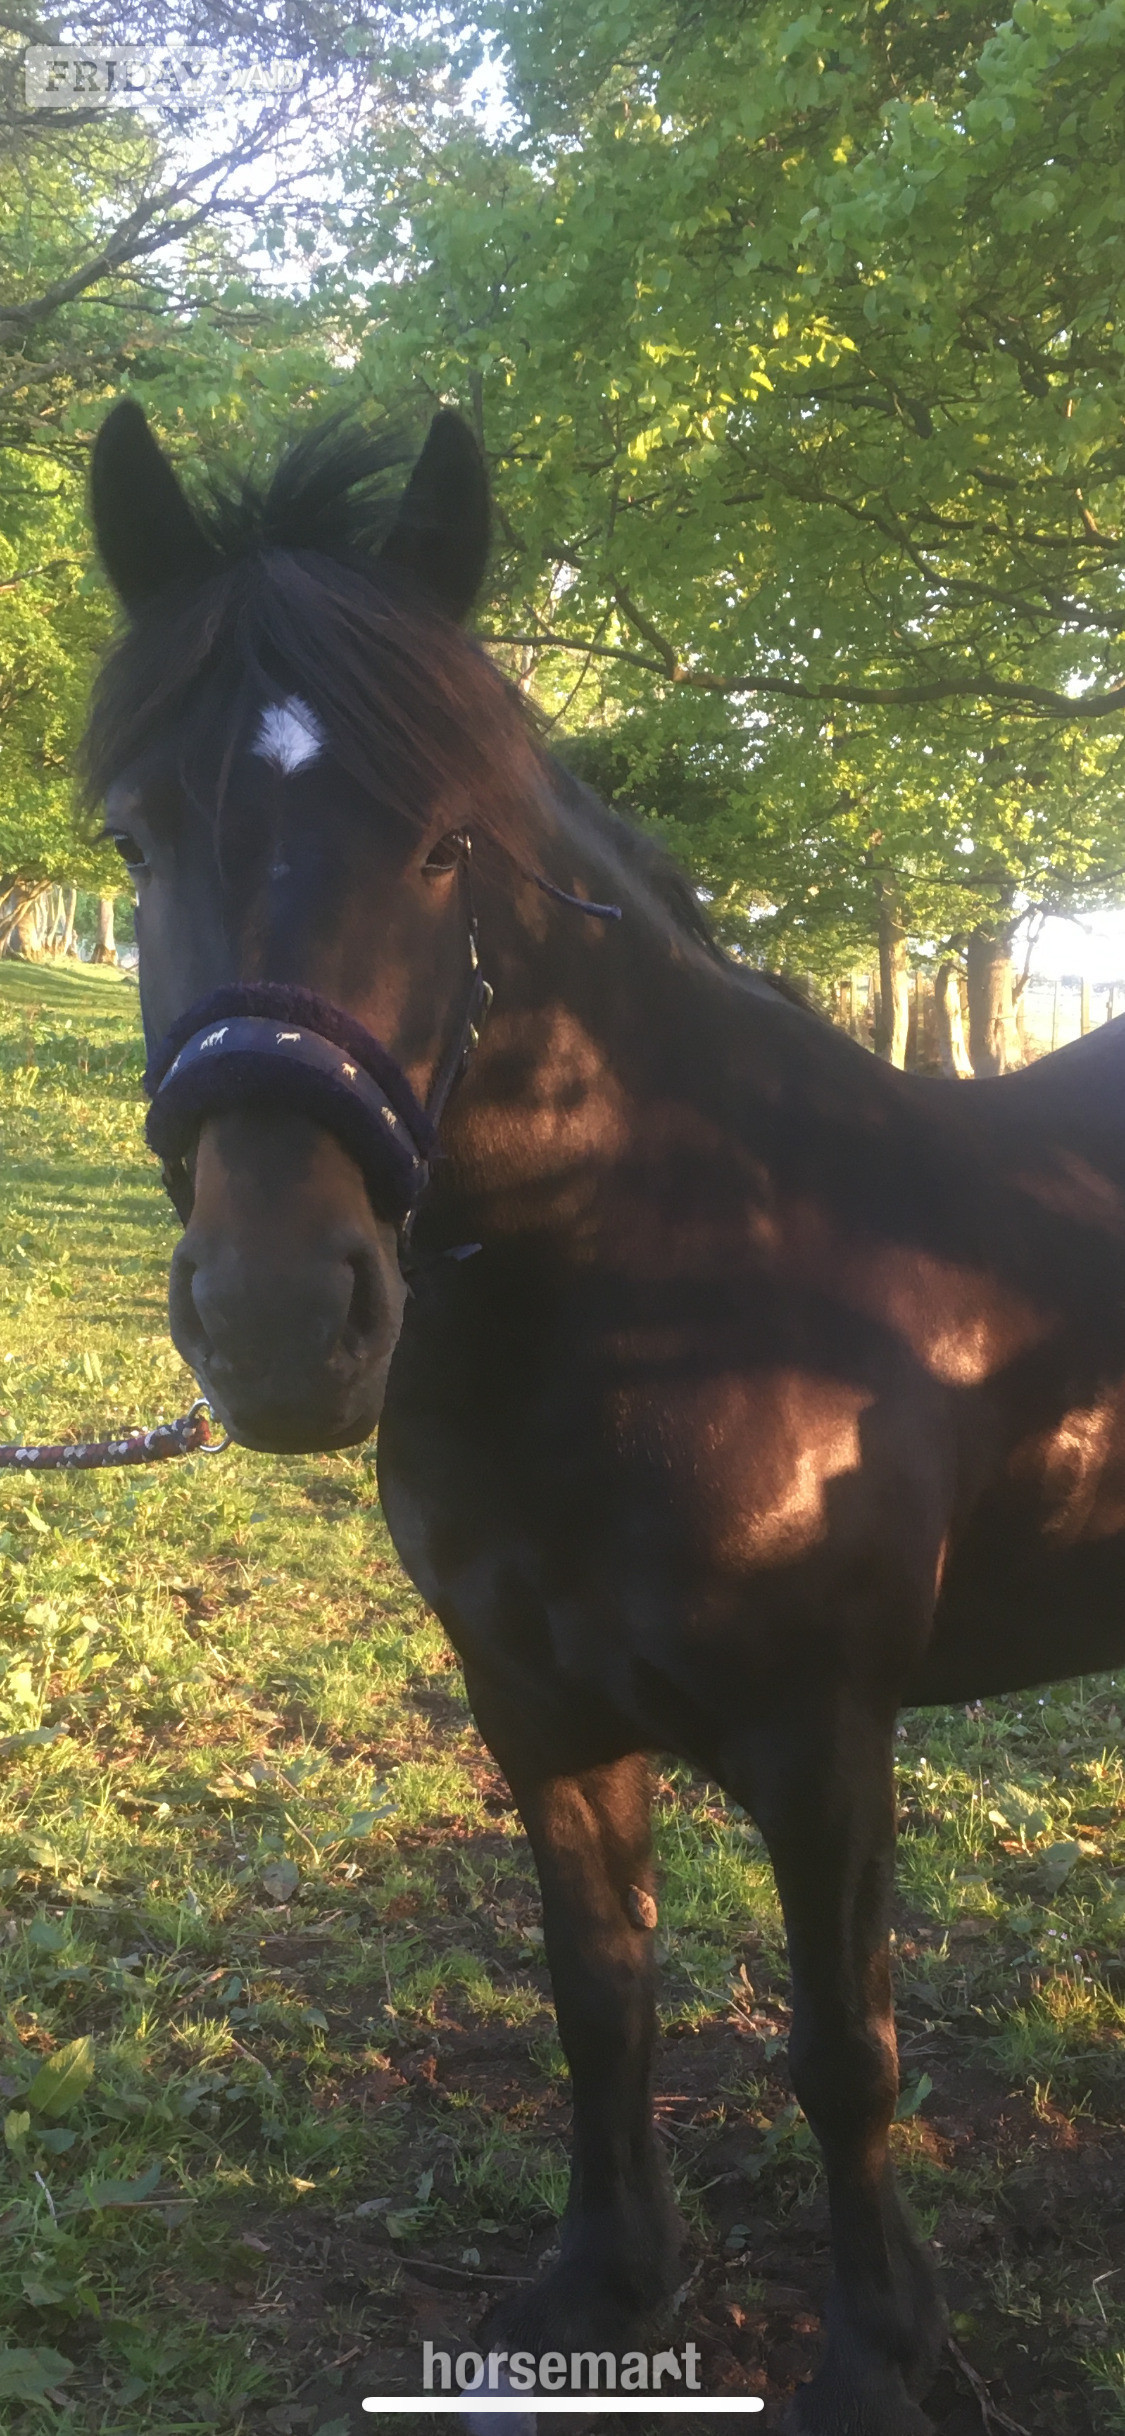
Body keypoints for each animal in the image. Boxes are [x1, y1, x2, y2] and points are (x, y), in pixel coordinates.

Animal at [83, 398, 1125, 2436]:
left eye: (447, 846)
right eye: (135, 831)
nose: (278, 1318)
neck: (677, 1270)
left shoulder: (824, 1735)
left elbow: (844, 2049)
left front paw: (881, 2355)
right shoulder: (536, 1709)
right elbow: (600, 1996)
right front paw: (606, 2279)